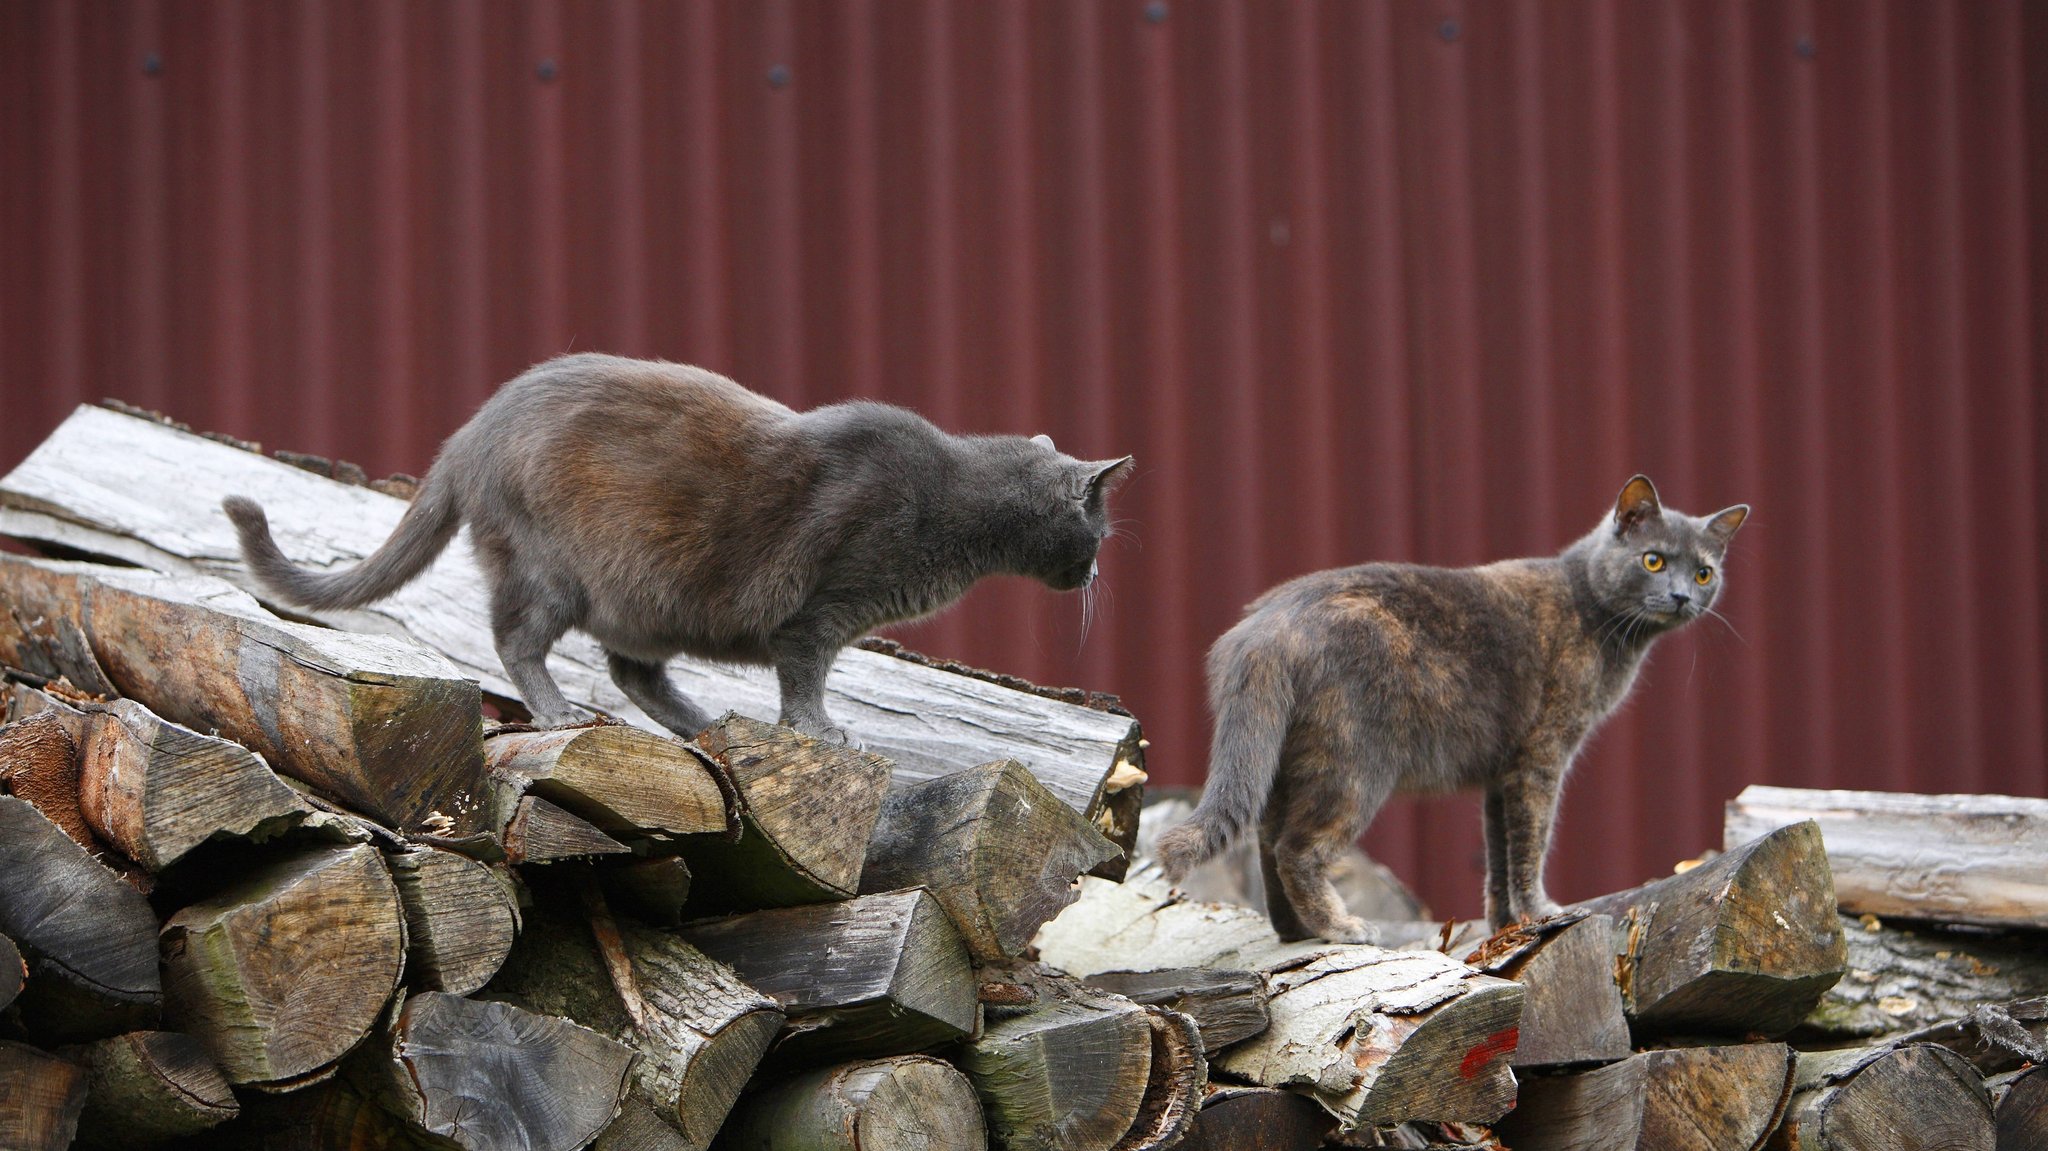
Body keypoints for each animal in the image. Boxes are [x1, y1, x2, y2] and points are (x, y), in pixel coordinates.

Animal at [228, 352, 1138, 745]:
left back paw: (705, 723)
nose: (1098, 568)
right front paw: (822, 731)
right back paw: (559, 712)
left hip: (644, 601)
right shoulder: (819, 612)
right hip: (551, 567)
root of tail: (469, 432)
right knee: (517, 640)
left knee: (635, 672)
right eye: (1098, 533)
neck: (953, 498)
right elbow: (805, 680)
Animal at [1163, 475, 1753, 942]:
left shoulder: (1502, 773)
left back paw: (1296, 931)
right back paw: (1342, 928)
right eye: (1654, 561)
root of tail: (1264, 629)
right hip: (1354, 765)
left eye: (1703, 572)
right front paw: (1544, 912)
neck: (1593, 613)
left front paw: (1507, 926)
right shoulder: (1542, 756)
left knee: (1265, 839)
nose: (1681, 596)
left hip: (1287, 761)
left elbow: (1498, 856)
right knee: (1296, 848)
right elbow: (1532, 845)